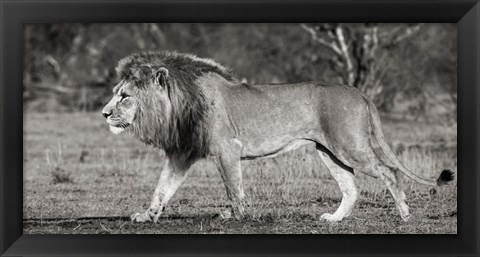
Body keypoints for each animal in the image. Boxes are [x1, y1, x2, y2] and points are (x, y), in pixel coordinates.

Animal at [101, 50, 454, 222]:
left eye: (124, 96)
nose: (104, 113)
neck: (178, 104)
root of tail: (359, 91)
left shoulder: (227, 149)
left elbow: (234, 188)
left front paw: (236, 216)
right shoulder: (182, 153)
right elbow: (162, 188)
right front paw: (147, 215)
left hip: (350, 145)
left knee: (389, 171)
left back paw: (405, 214)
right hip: (329, 151)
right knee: (351, 187)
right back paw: (334, 220)